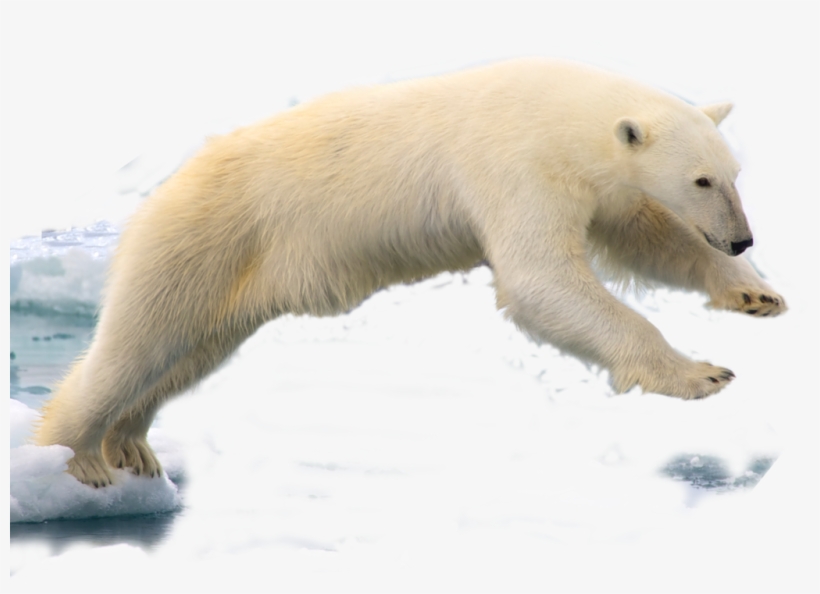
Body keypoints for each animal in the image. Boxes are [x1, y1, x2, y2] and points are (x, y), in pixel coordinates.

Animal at [35, 58, 786, 487]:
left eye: (733, 174)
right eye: (701, 179)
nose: (743, 236)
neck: (556, 110)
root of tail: (165, 189)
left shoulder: (594, 184)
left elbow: (647, 237)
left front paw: (754, 292)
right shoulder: (513, 164)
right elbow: (541, 277)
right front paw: (701, 374)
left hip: (236, 277)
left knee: (187, 353)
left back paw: (132, 446)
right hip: (203, 238)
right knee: (139, 342)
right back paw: (77, 461)